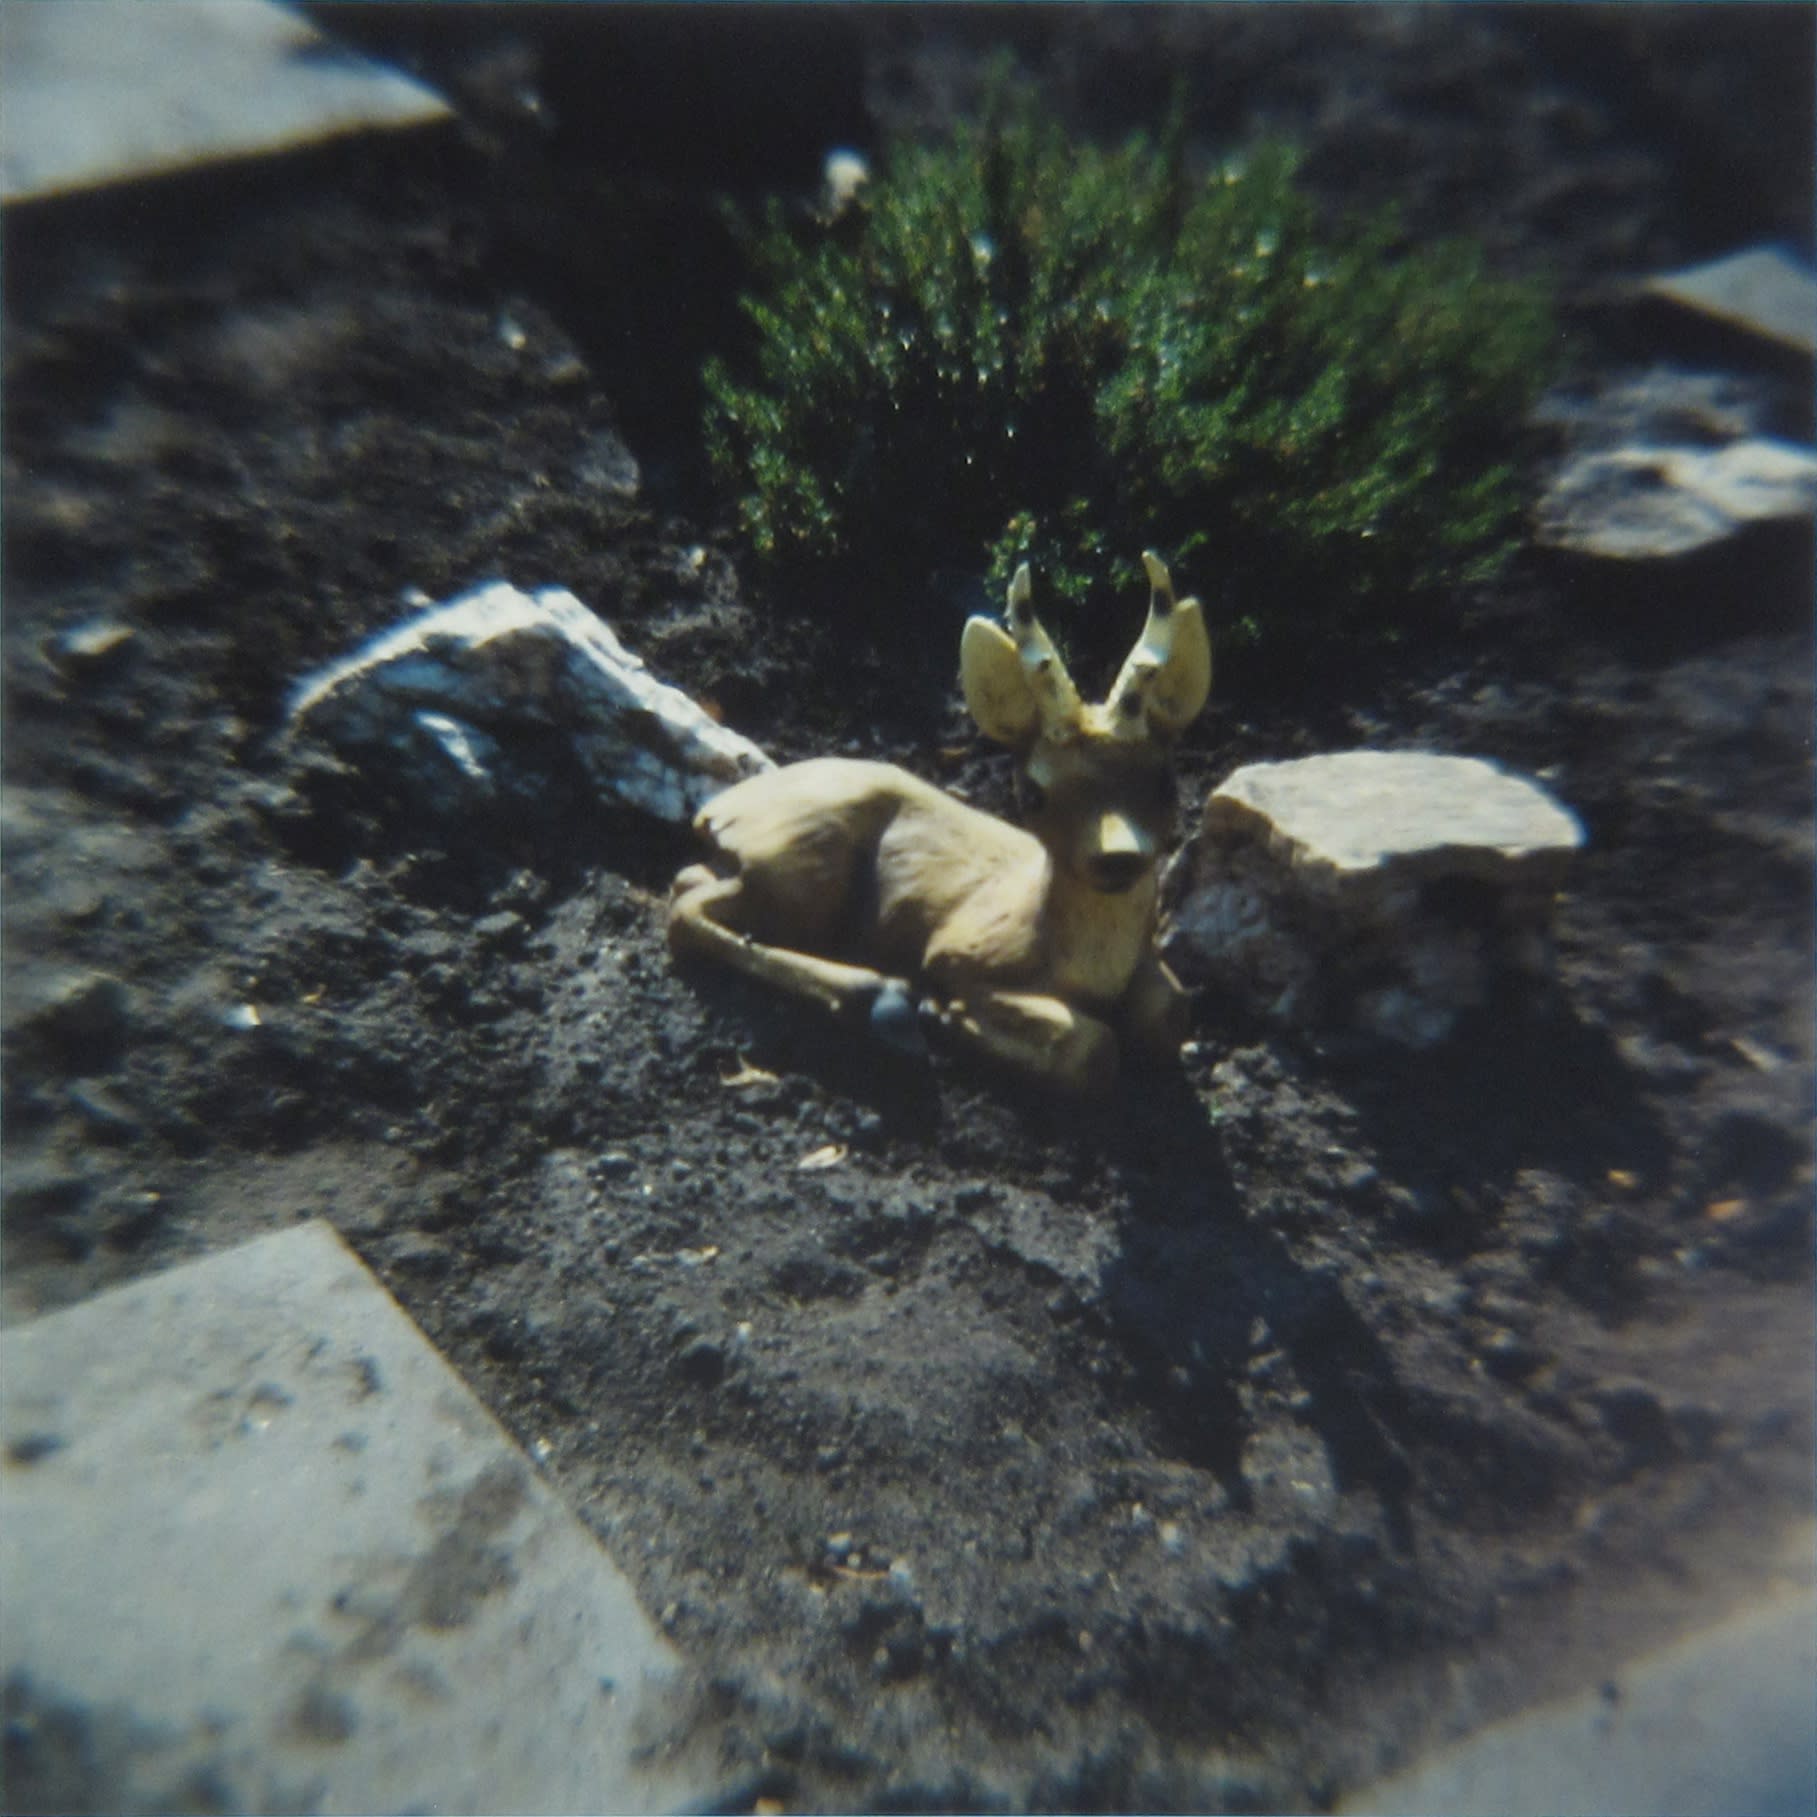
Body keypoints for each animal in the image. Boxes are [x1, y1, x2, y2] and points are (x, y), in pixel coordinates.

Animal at [667, 553, 1213, 1093]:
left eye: (1167, 782)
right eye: (1033, 794)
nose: (1118, 856)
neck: (1092, 971)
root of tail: (718, 809)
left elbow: (1171, 1012)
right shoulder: (958, 950)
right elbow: (1094, 1048)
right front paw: (950, 1016)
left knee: (687, 884)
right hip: (803, 867)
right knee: (685, 915)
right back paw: (887, 1003)